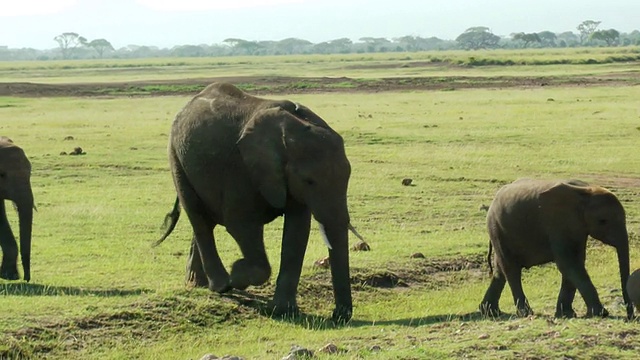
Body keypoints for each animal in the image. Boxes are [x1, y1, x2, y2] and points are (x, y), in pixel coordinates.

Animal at [156, 82, 356, 324]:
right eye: (309, 181)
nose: (337, 316)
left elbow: (297, 233)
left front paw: (283, 311)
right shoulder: (240, 168)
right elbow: (241, 225)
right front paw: (237, 273)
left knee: (204, 221)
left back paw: (198, 284)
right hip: (176, 158)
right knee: (199, 219)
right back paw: (221, 285)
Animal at [478, 179, 632, 320]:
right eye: (603, 221)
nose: (631, 316)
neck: (585, 191)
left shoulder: (576, 227)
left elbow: (576, 262)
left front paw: (566, 315)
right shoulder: (557, 223)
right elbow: (568, 264)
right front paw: (601, 313)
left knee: (500, 271)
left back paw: (491, 312)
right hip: (497, 230)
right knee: (511, 269)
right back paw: (525, 313)